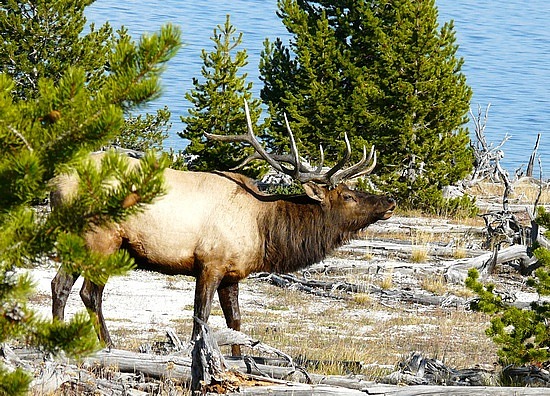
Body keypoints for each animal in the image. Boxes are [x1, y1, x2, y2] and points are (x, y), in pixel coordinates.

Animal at [50, 102, 396, 356]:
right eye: (348, 196)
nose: (390, 201)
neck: (263, 229)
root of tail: (55, 183)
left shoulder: (233, 273)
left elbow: (235, 320)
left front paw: (239, 360)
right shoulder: (209, 263)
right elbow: (201, 318)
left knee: (64, 285)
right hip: (100, 238)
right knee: (85, 291)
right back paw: (106, 344)